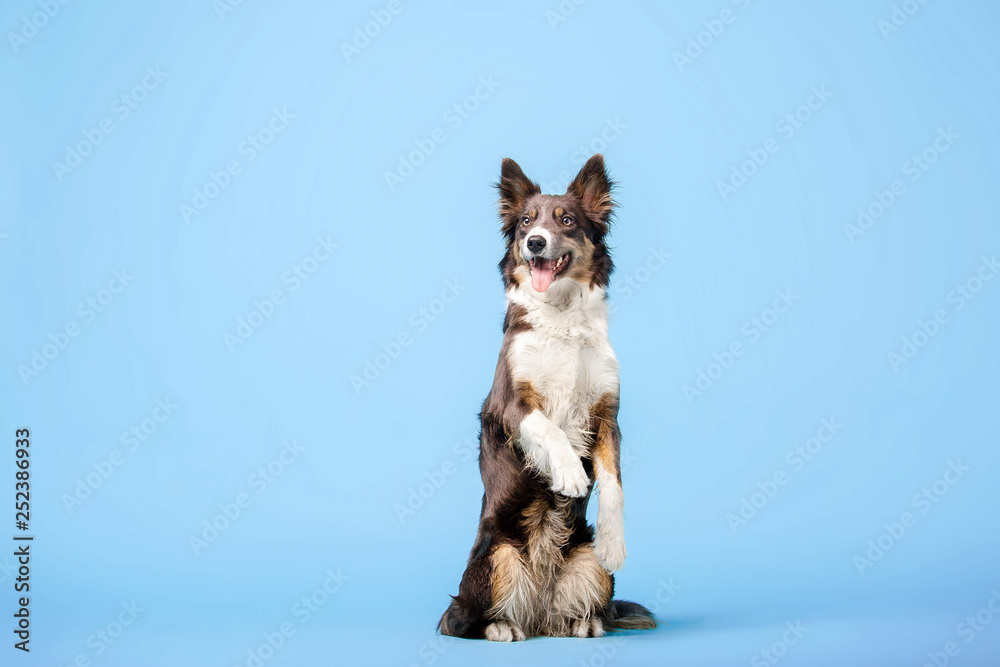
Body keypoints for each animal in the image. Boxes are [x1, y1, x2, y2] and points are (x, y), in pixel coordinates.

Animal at [438, 154, 656, 640]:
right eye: (525, 222)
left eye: (567, 221)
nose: (535, 243)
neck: (562, 316)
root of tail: (539, 608)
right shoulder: (509, 404)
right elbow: (548, 429)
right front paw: (570, 473)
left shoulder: (607, 416)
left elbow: (615, 484)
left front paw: (615, 540)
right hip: (496, 557)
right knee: (467, 619)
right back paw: (502, 627)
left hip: (587, 564)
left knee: (578, 611)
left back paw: (583, 622)